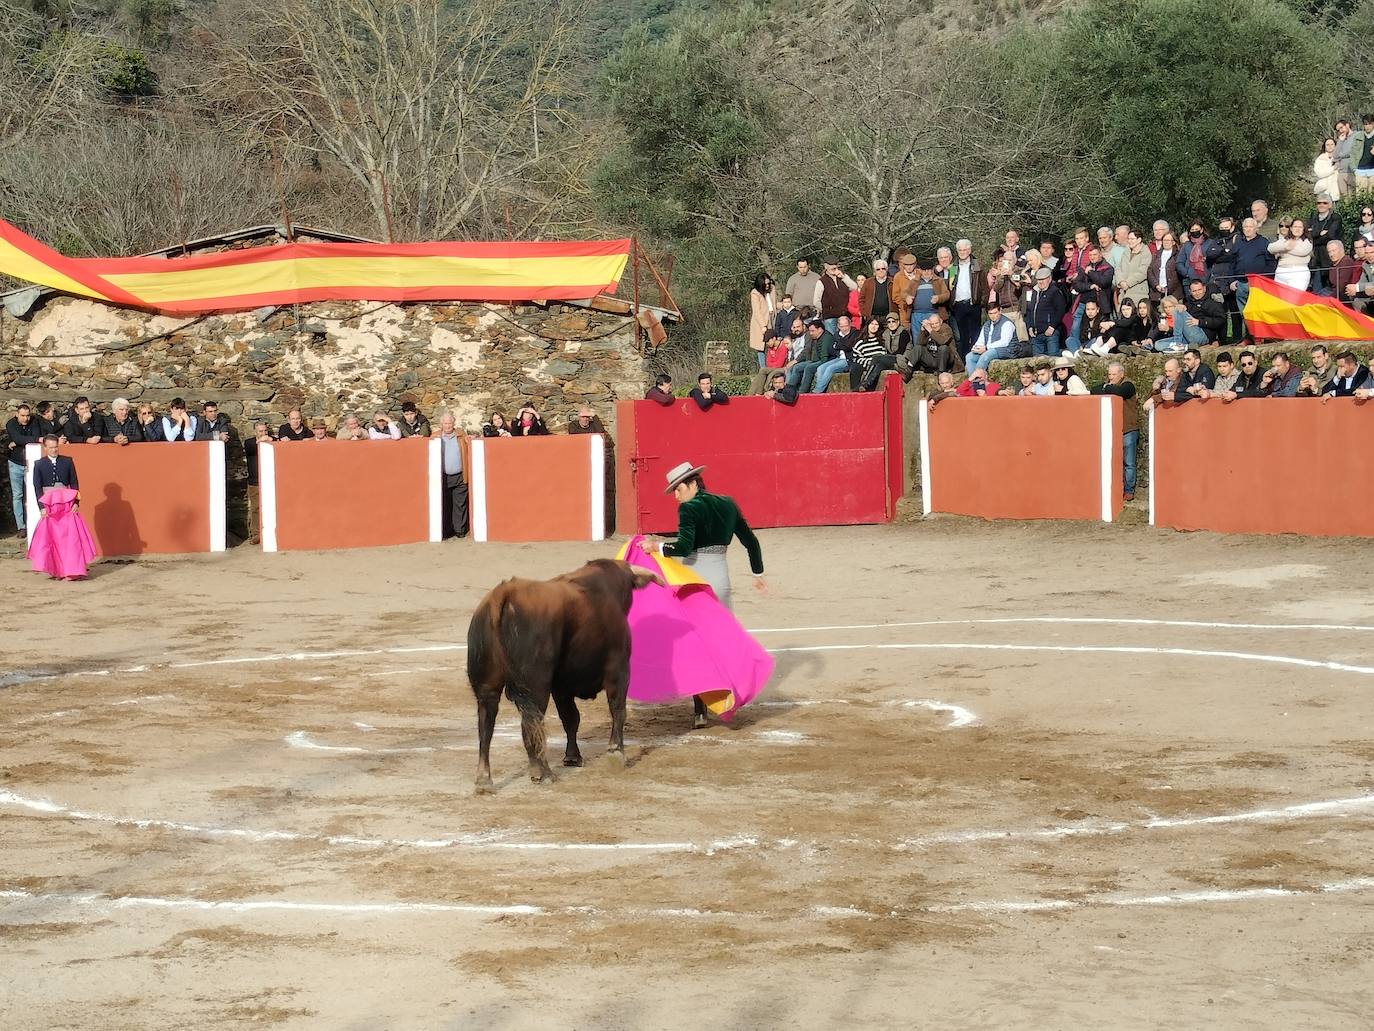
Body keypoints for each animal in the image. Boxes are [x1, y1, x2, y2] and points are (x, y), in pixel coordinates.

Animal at [467, 560, 659, 797]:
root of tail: (503, 594)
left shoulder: (561, 686)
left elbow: (570, 719)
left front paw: (573, 757)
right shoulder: (619, 668)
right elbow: (617, 709)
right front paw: (616, 753)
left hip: (487, 685)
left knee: (487, 726)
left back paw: (485, 780)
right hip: (535, 686)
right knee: (531, 724)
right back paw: (543, 773)